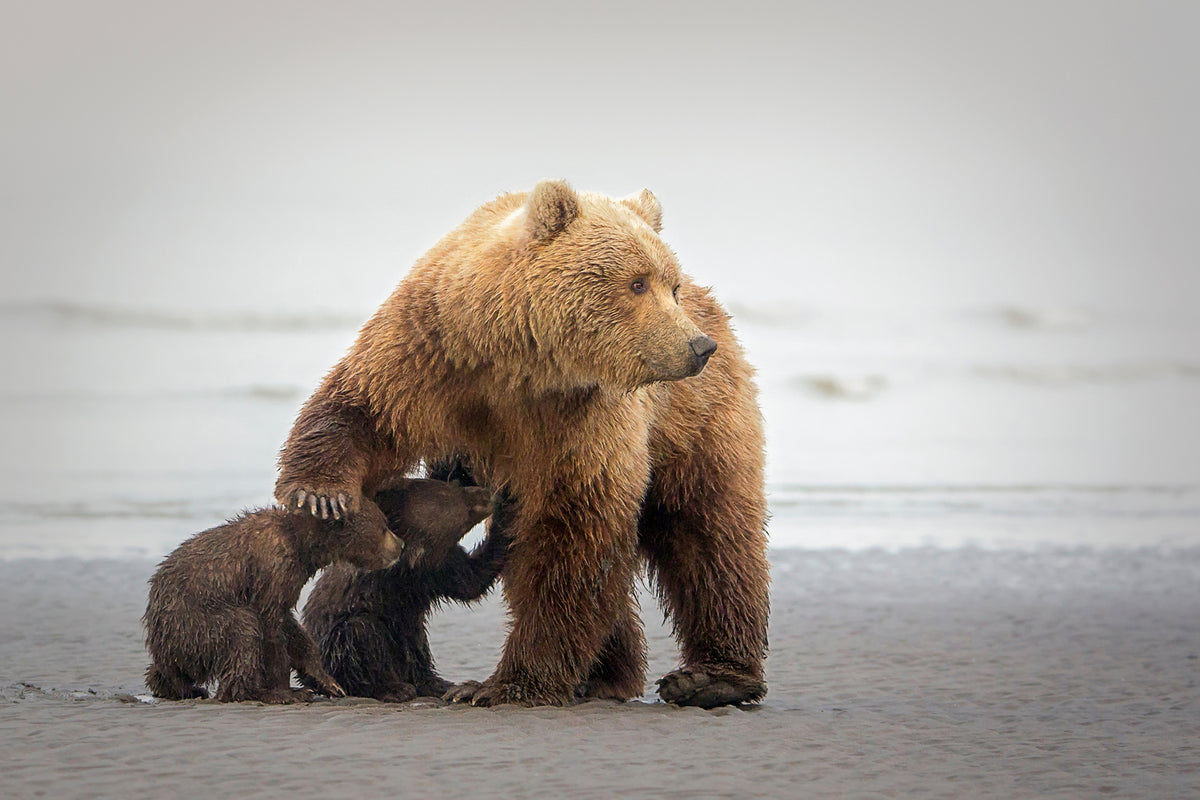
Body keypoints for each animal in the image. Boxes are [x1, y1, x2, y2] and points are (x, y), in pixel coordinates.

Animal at [274, 179, 768, 705]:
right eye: (638, 283)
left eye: (668, 286)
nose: (697, 346)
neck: (521, 360)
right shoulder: (434, 349)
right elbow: (366, 409)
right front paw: (320, 494)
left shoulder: (581, 416)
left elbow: (572, 527)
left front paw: (504, 683)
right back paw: (606, 674)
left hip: (697, 419)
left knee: (709, 532)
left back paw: (710, 677)